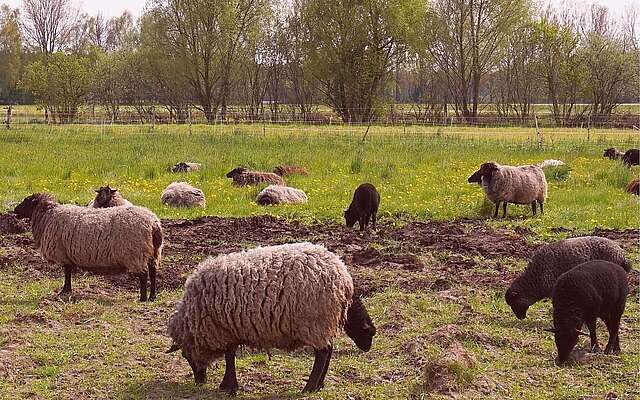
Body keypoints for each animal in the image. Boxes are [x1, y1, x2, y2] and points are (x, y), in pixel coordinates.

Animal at [13, 193, 163, 301]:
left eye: (26, 201)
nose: (14, 210)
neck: (47, 216)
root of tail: (153, 224)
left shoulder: (63, 253)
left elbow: (67, 272)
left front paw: (64, 290)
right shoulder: (67, 254)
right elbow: (68, 272)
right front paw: (67, 290)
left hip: (136, 253)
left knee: (143, 275)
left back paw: (142, 298)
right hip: (154, 253)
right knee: (153, 272)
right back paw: (152, 297)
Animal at [165, 242, 376, 394]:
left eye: (185, 356)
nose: (199, 382)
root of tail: (342, 275)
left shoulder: (226, 329)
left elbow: (229, 356)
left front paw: (229, 386)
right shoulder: (232, 329)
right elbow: (230, 354)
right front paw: (228, 384)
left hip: (315, 322)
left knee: (323, 353)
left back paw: (309, 387)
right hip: (321, 323)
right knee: (328, 350)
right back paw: (319, 385)